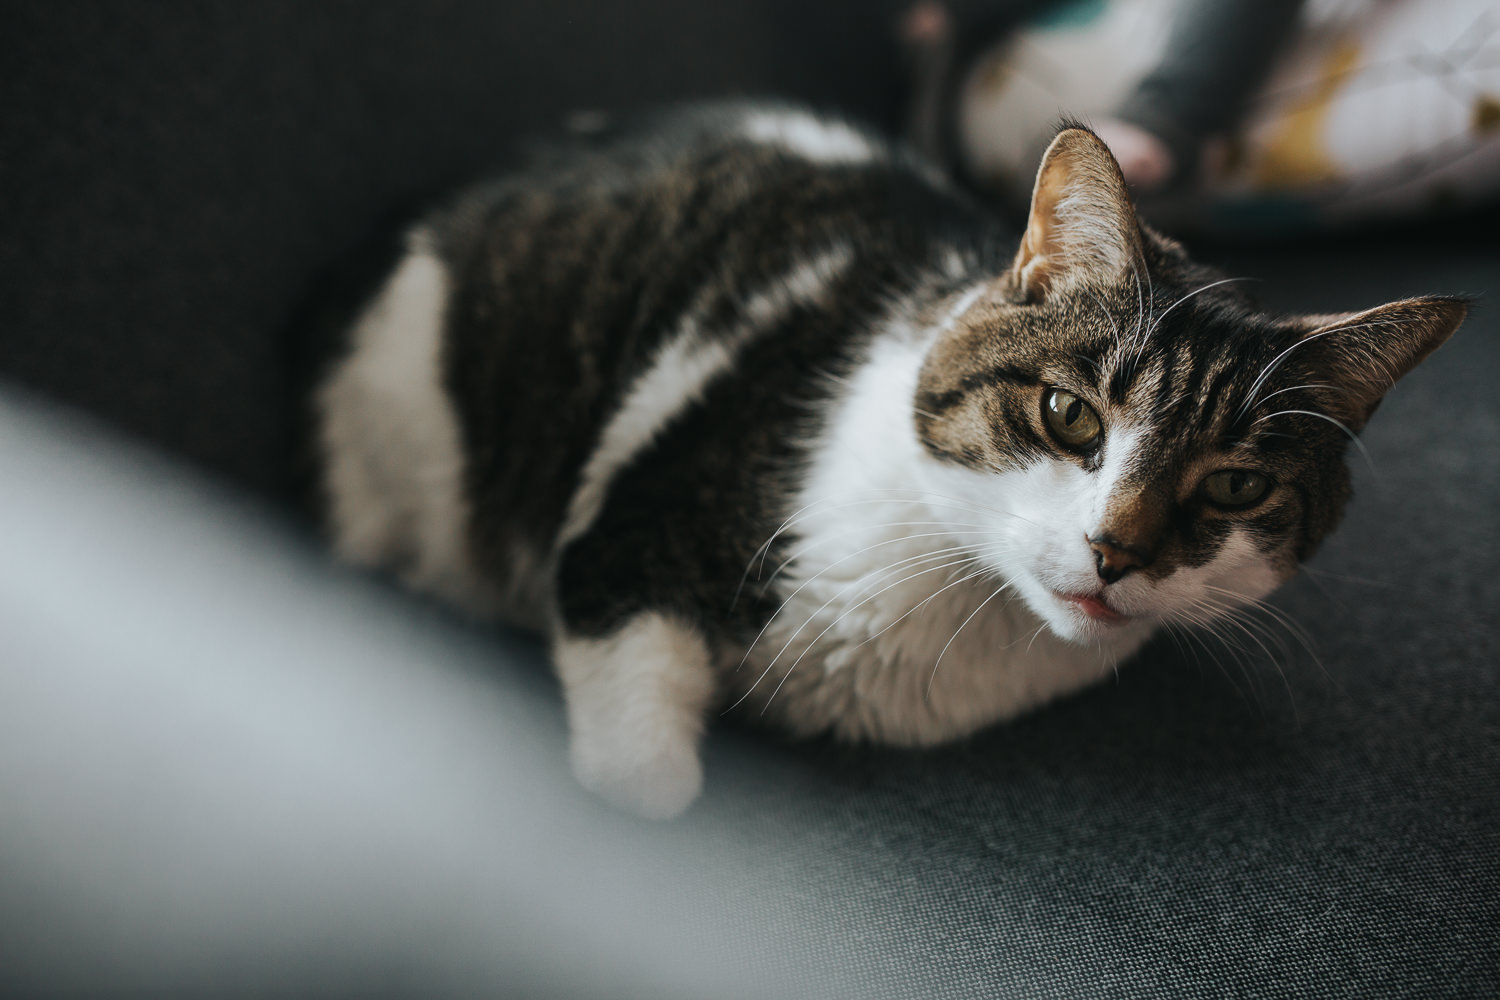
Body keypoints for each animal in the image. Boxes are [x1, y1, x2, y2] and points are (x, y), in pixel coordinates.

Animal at [307, 103, 1464, 821]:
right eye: (1068, 416)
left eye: (1234, 485)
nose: (1116, 550)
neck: (962, 609)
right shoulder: (635, 521)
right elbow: (645, 780)